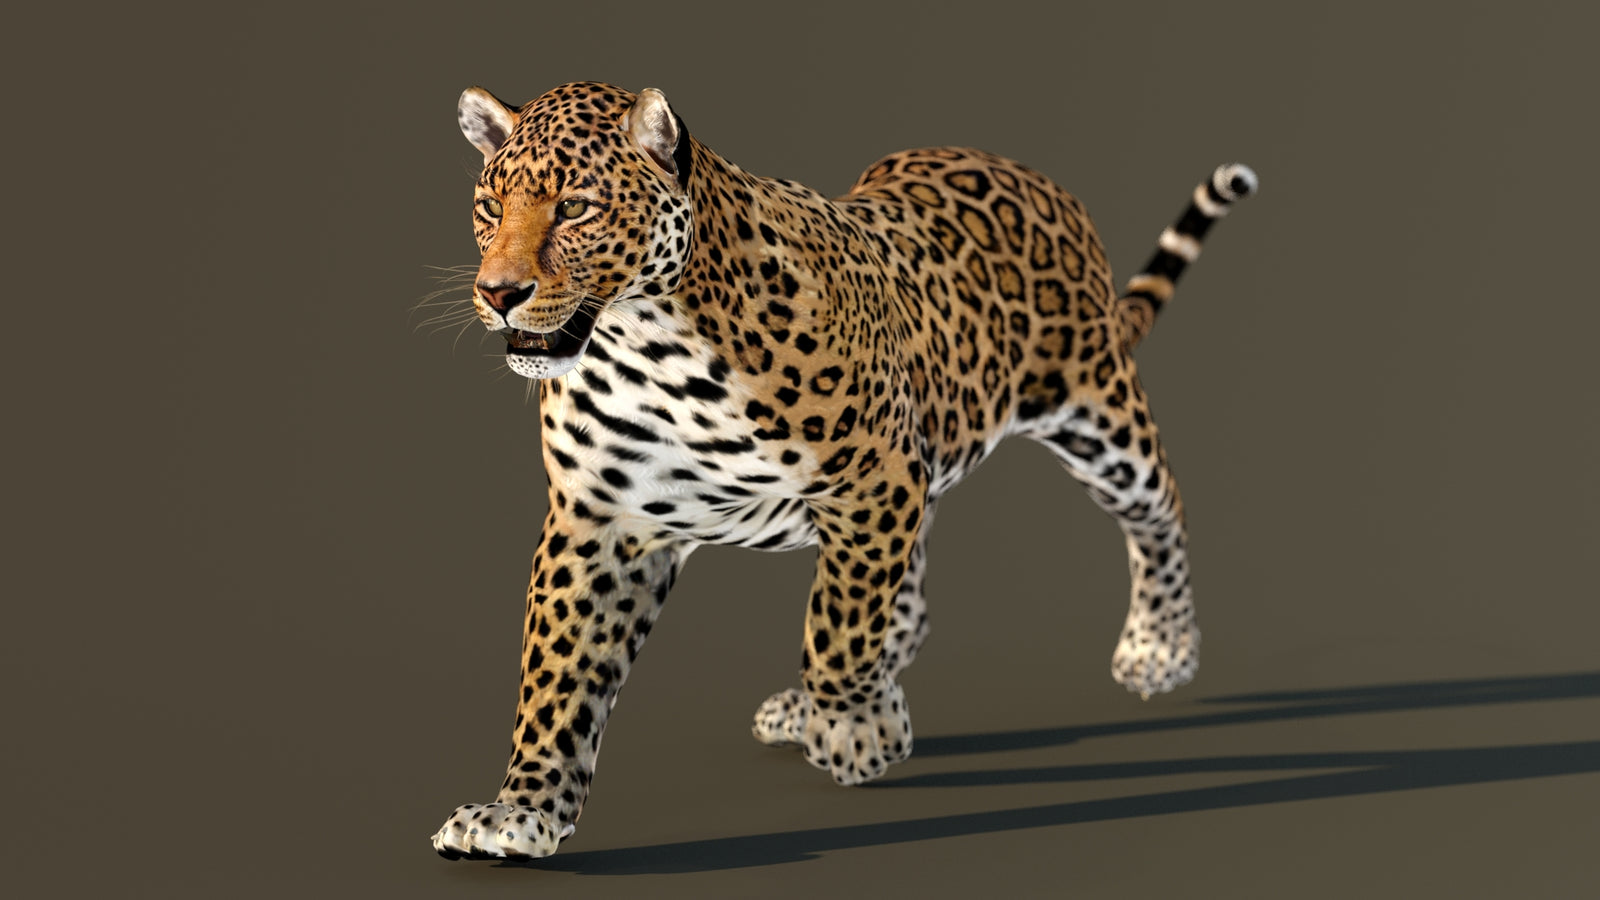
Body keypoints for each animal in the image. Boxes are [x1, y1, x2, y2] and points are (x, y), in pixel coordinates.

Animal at [428, 81, 1255, 860]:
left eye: (575, 207)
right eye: (488, 207)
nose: (499, 293)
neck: (646, 346)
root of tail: (1028, 171)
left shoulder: (873, 481)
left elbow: (839, 622)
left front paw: (854, 730)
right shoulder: (599, 521)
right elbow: (557, 677)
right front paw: (522, 811)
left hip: (1095, 412)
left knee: (1161, 508)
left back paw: (1160, 648)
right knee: (912, 605)